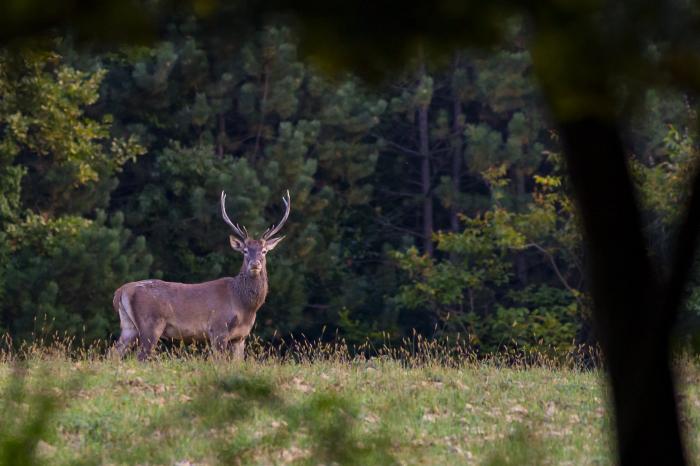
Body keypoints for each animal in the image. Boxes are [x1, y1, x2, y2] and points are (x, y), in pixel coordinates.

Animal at [111, 189, 290, 360]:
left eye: (264, 251)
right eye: (245, 251)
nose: (255, 264)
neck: (244, 306)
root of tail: (121, 291)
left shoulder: (241, 337)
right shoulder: (218, 329)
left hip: (129, 326)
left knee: (114, 353)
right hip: (151, 324)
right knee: (140, 357)